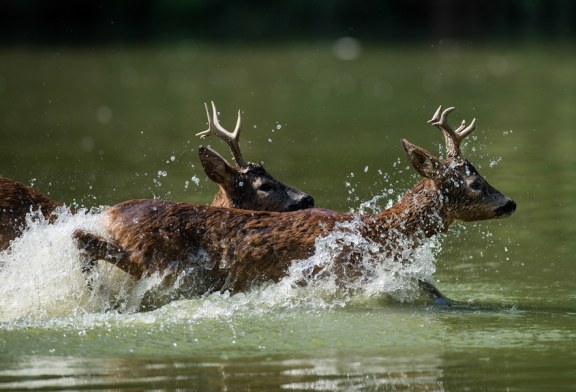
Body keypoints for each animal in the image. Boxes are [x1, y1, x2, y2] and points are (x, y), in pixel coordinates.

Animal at [72, 105, 516, 302]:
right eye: (473, 182)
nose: (509, 202)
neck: (375, 230)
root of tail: (111, 212)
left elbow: (432, 288)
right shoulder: (341, 272)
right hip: (153, 260)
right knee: (83, 241)